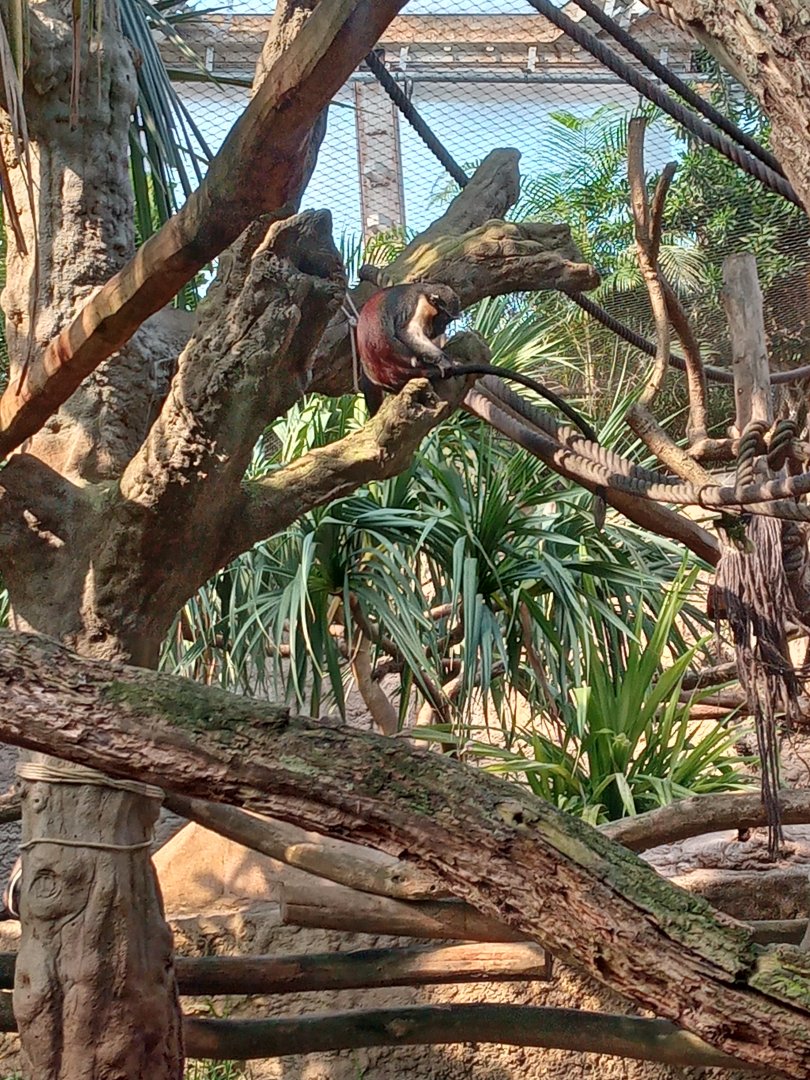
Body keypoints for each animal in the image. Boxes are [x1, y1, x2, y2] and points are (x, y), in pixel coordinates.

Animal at [354, 281, 599, 444]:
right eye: (445, 318)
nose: (440, 329)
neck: (423, 291)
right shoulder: (420, 306)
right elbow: (409, 332)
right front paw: (444, 361)